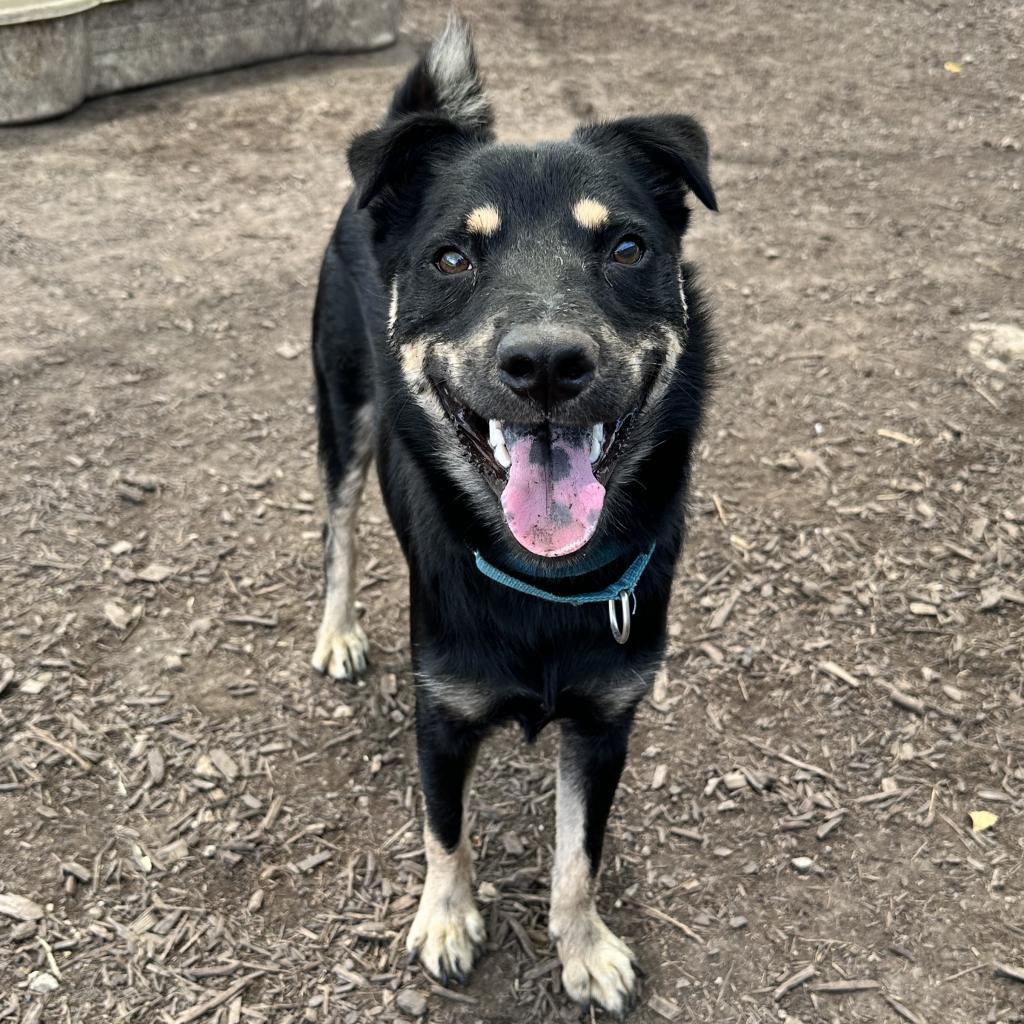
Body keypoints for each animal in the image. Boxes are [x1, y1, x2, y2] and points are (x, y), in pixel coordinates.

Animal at [307, 16, 716, 1015]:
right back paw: (338, 631)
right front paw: (448, 919)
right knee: (338, 530)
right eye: (453, 257)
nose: (546, 364)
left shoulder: (606, 722)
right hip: (344, 415)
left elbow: (579, 854)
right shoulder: (442, 713)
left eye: (626, 249)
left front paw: (584, 947)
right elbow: (443, 829)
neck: (543, 583)